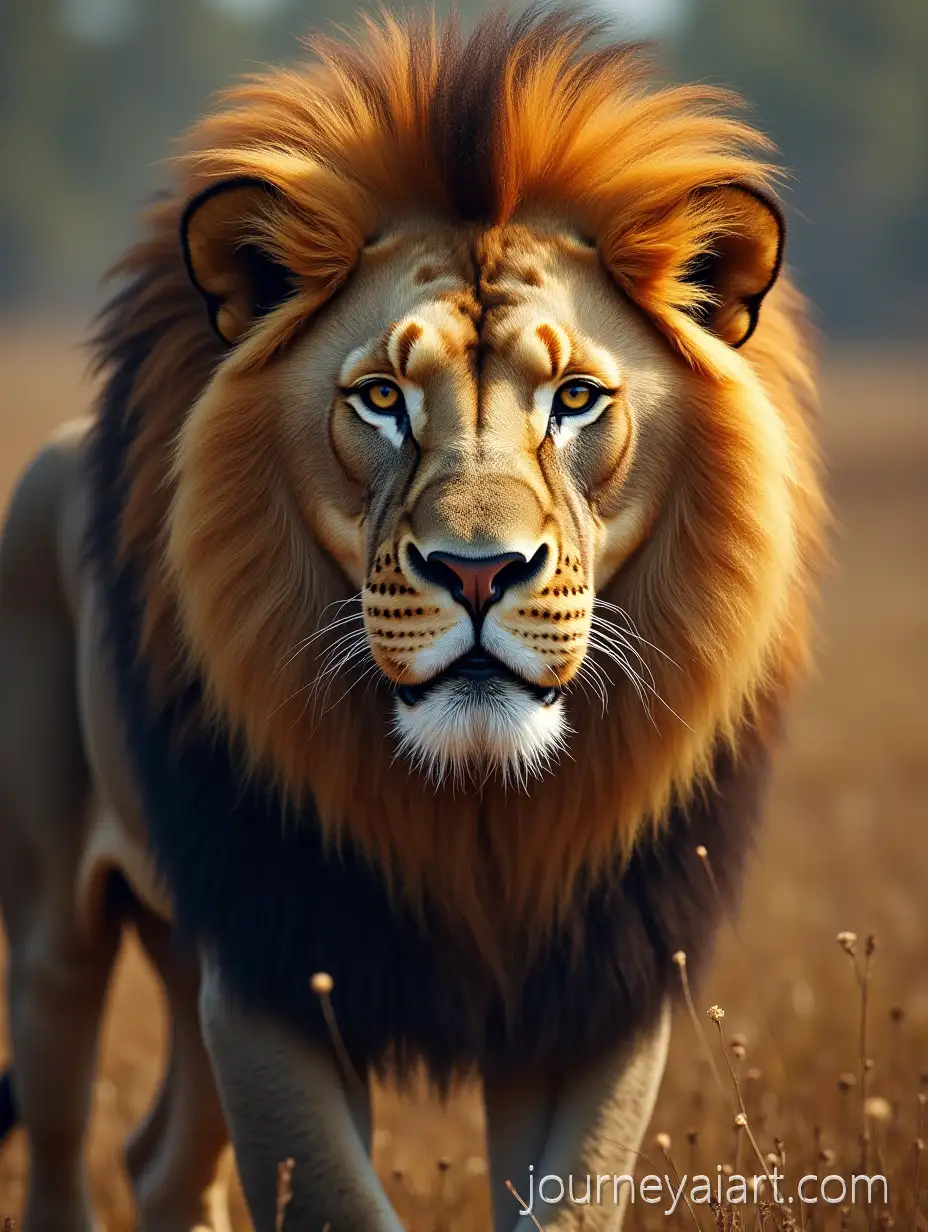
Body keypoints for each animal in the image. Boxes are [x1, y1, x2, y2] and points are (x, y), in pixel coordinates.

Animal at [0, 8, 824, 1230]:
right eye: (382, 399)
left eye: (576, 398)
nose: (478, 572)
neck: (471, 811)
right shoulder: (272, 966)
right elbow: (335, 1197)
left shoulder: (596, 992)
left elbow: (570, 1198)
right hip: (57, 929)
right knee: (63, 1144)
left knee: (159, 1159)